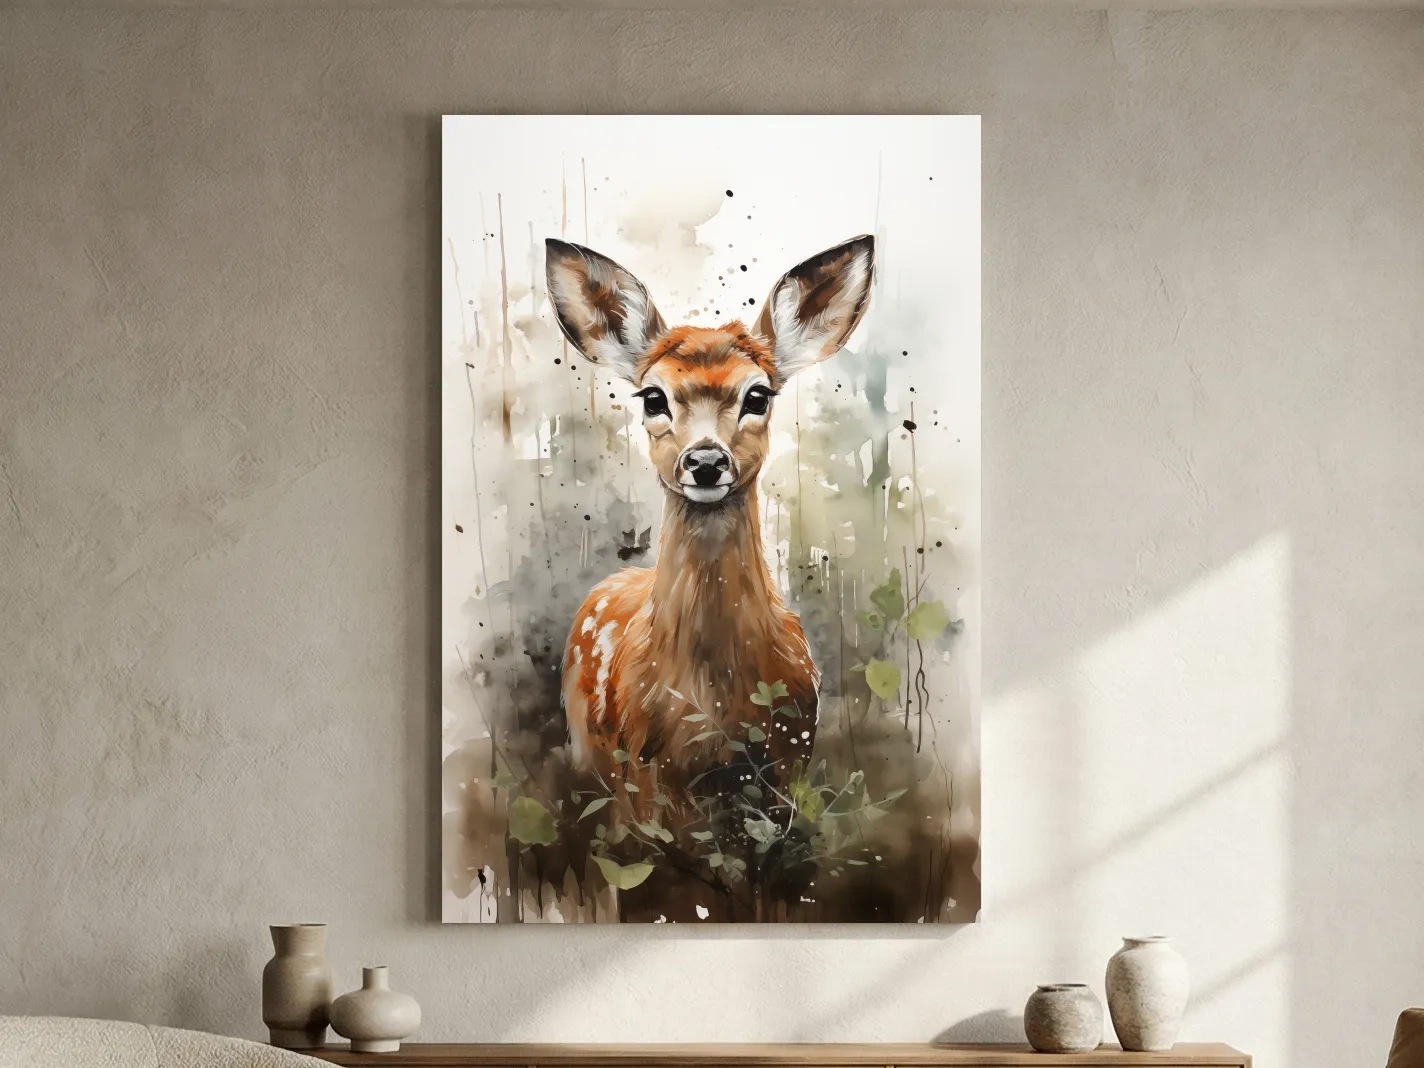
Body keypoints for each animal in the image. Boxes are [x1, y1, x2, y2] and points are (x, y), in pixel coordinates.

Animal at [545, 234, 875, 830]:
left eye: (758, 396)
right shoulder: (645, 780)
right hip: (589, 750)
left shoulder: (790, 763)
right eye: (652, 397)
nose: (704, 461)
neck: (713, 708)